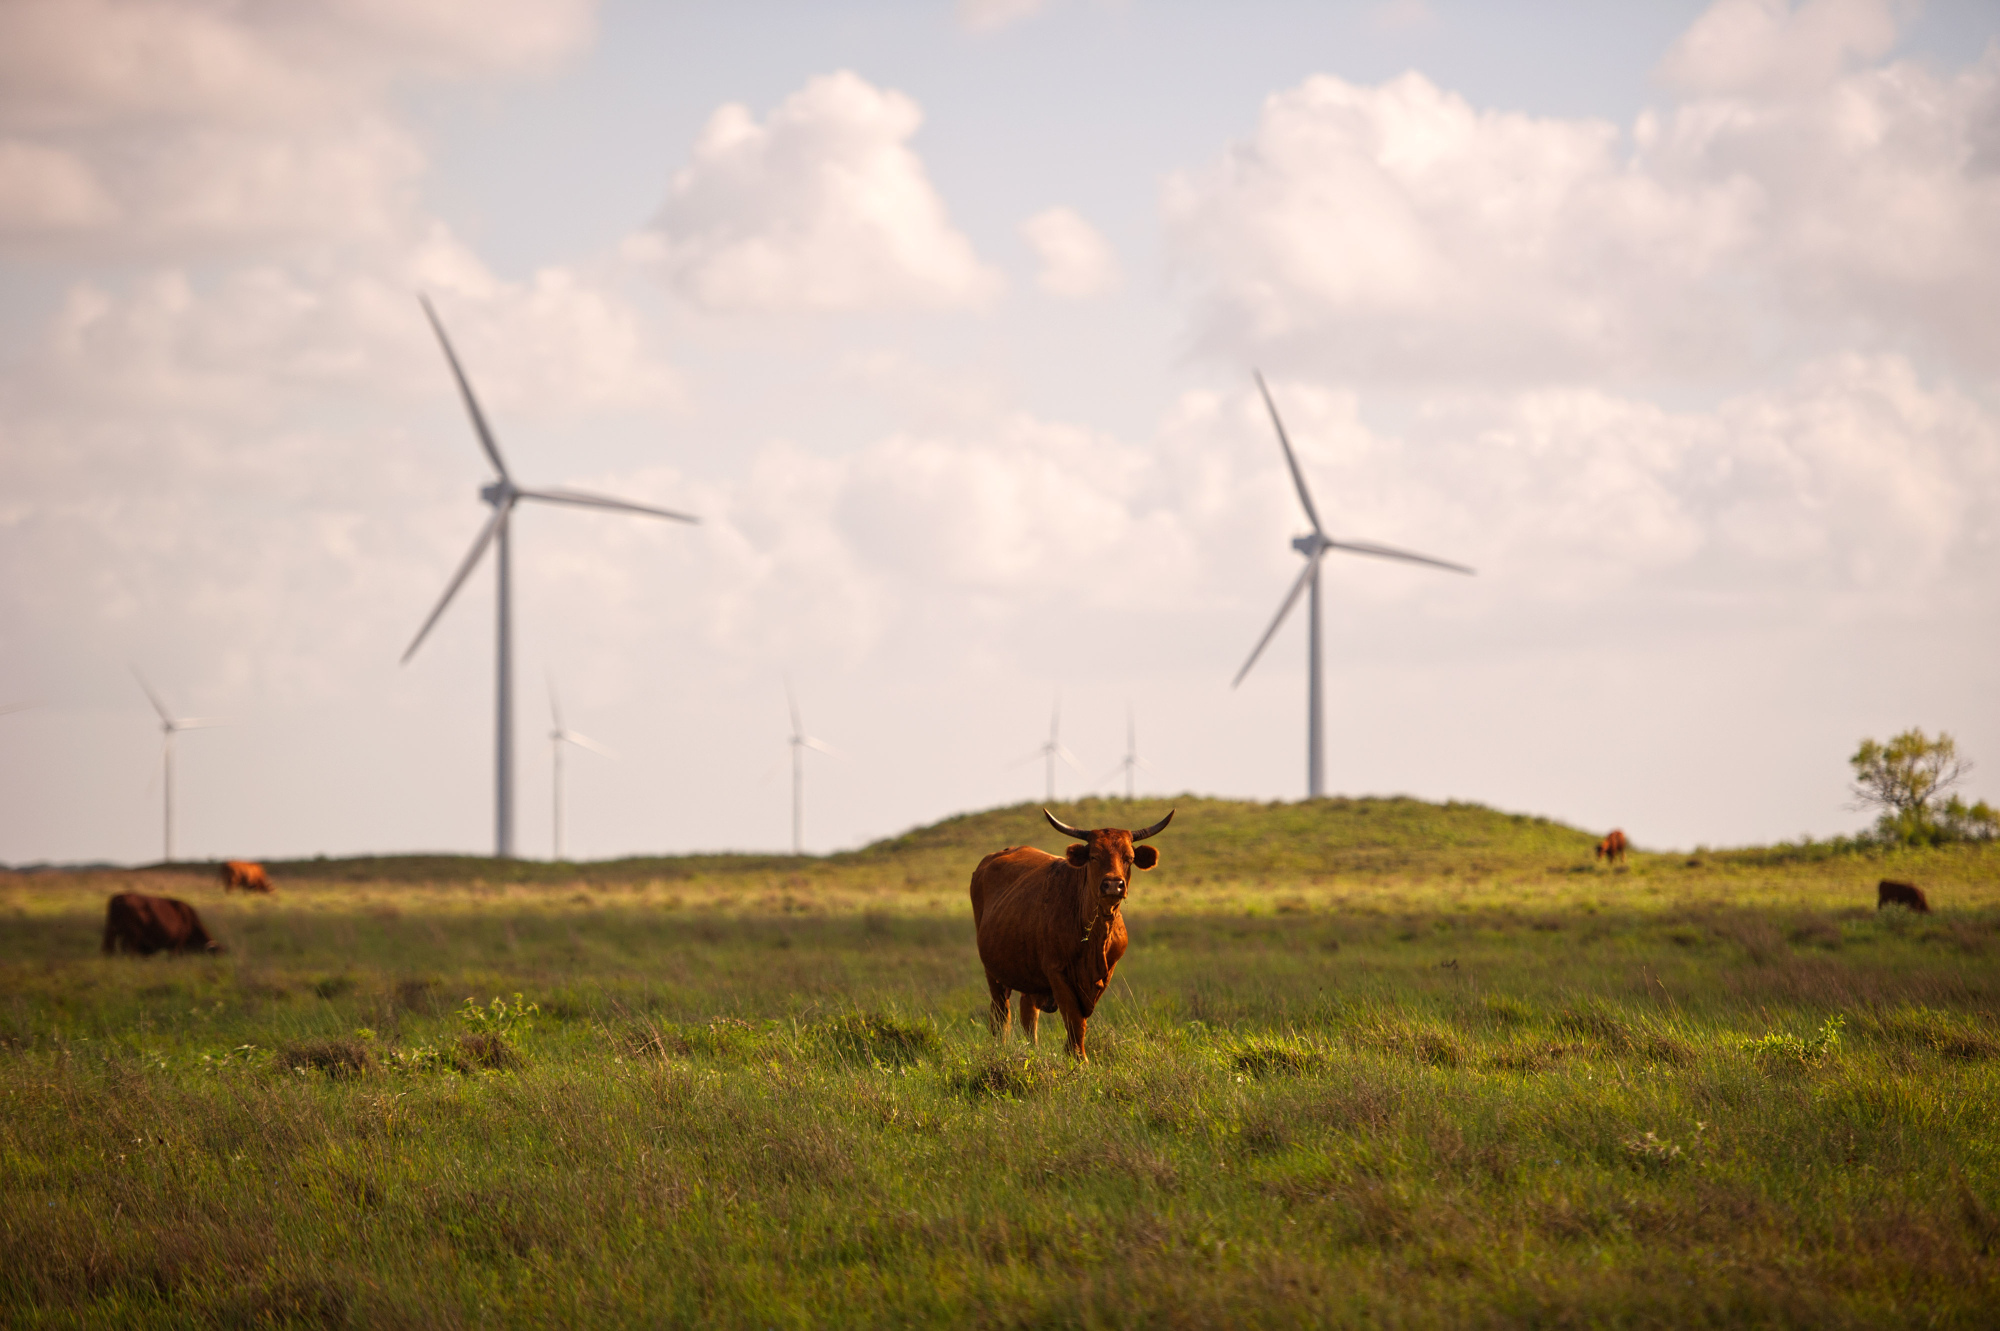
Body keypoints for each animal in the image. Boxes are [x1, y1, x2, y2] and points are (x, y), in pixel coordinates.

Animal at [972, 799, 1168, 1055]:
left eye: (1129, 857)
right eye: (1094, 856)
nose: (1113, 884)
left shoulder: (1103, 975)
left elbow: (1079, 1020)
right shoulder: (1057, 973)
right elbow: (1074, 1020)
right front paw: (1078, 1057)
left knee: (1028, 1012)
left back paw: (1033, 1048)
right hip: (993, 973)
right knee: (1000, 1014)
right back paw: (1001, 1046)